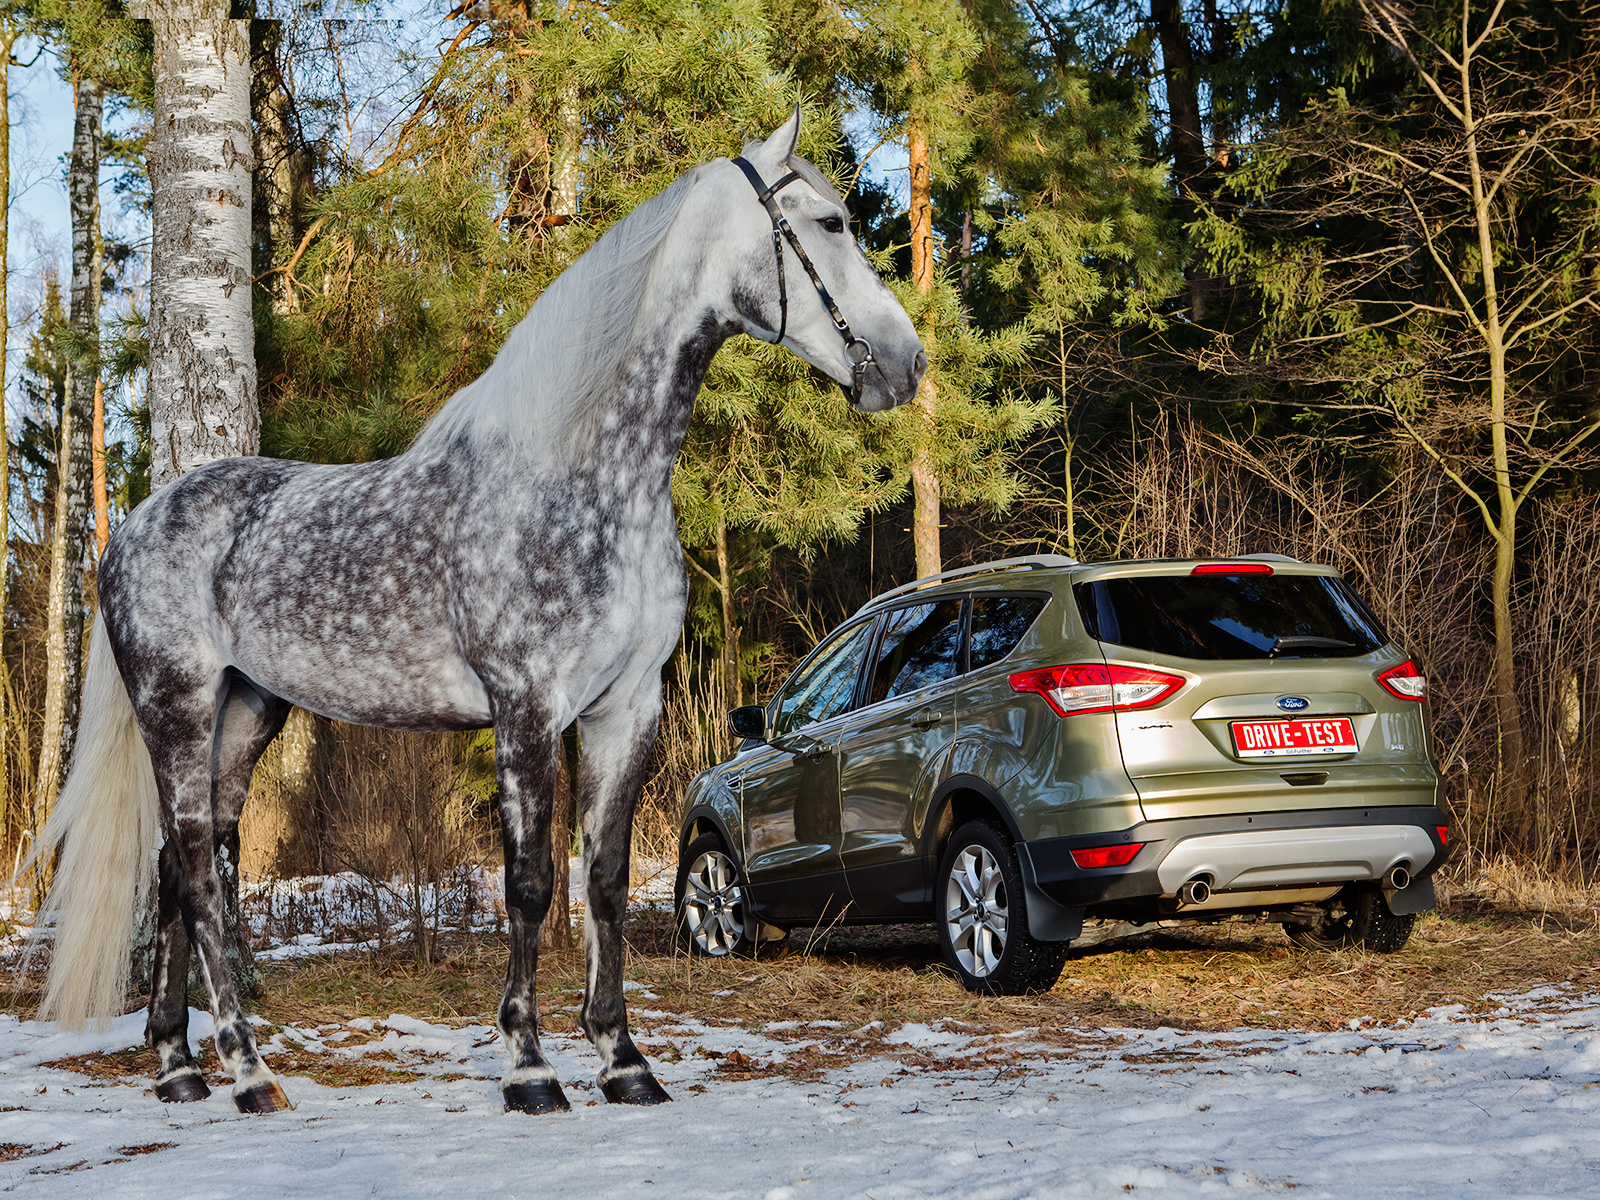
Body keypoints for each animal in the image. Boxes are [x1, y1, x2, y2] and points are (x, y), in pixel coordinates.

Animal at [31, 112, 921, 1120]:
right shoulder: (526, 706)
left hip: (246, 712)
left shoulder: (627, 707)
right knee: (193, 871)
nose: (906, 365)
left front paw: (624, 1062)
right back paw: (249, 1073)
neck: (586, 483)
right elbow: (529, 883)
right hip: (176, 706)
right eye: (832, 223)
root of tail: (137, 522)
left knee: (181, 873)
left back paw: (178, 1066)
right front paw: (530, 1069)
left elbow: (604, 880)